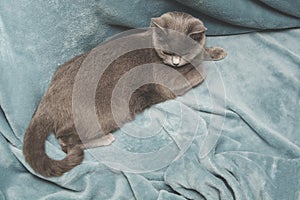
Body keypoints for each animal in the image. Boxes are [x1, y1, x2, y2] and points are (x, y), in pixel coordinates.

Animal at [22, 11, 225, 177]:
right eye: (167, 51)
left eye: (185, 51)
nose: (175, 62)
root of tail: (47, 101)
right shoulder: (169, 82)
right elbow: (199, 72)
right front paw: (202, 62)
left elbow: (201, 52)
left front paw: (215, 51)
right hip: (110, 111)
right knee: (66, 141)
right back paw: (104, 139)